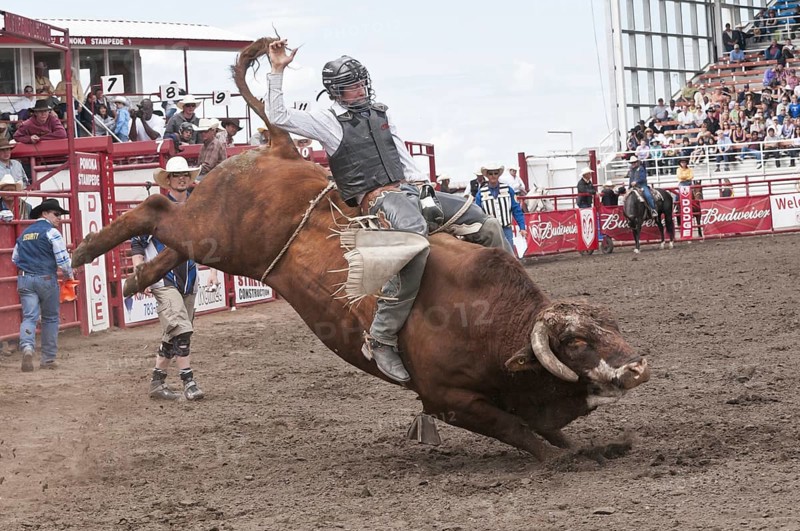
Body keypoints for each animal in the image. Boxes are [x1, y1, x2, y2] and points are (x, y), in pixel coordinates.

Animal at [71, 38, 650, 459]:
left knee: (169, 242)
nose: (637, 367)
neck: (490, 319)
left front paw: (590, 446)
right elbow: (527, 437)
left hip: (213, 240)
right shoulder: (450, 401)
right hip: (213, 231)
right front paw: (567, 457)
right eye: (577, 342)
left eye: (611, 326)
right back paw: (84, 252)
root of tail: (280, 147)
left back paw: (132, 278)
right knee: (153, 207)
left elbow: (547, 429)